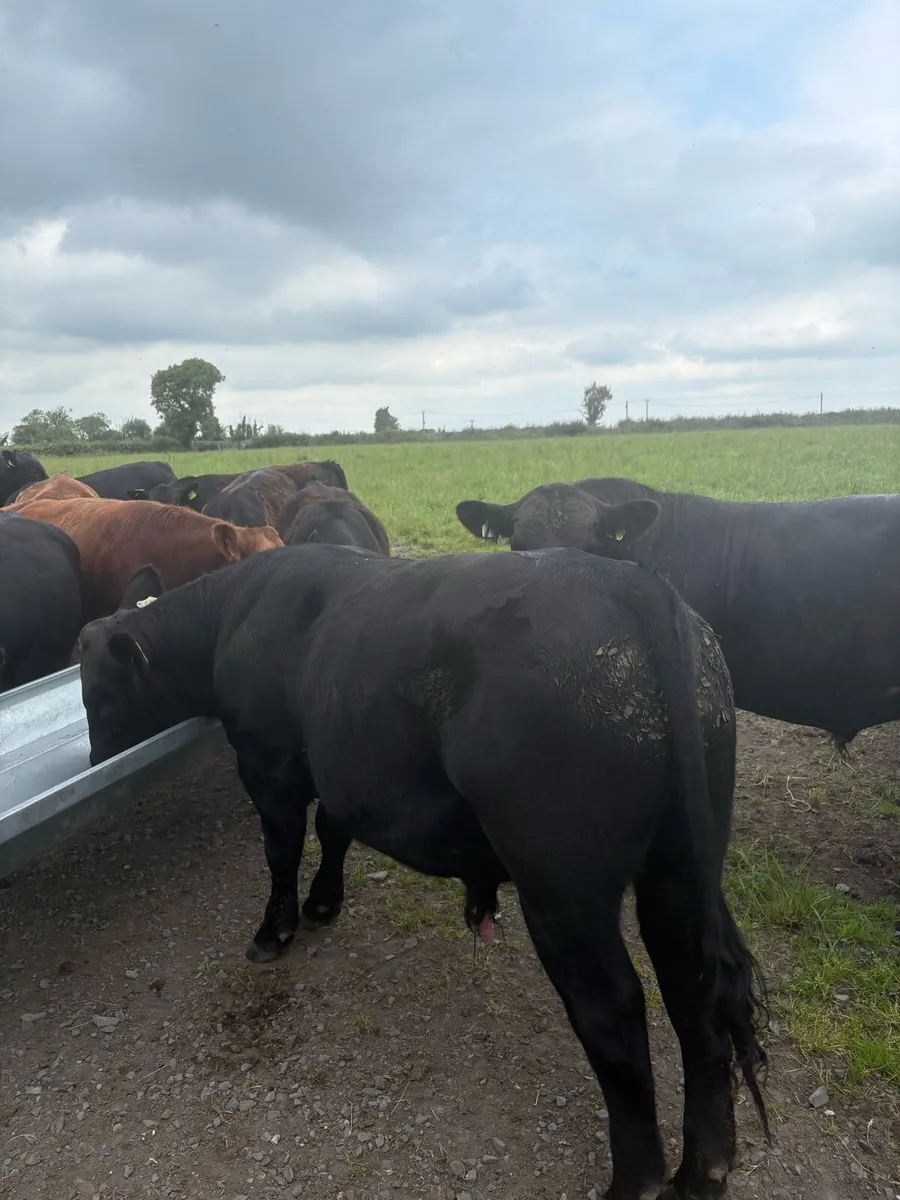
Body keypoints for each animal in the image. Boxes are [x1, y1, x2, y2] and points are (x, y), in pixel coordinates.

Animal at [79, 543, 768, 1199]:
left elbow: (281, 850)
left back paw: (635, 1182)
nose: (96, 760)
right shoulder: (342, 771)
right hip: (679, 867)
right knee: (693, 992)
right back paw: (703, 1172)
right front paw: (325, 903)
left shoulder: (269, 766)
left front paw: (275, 930)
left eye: (102, 698)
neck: (236, 612)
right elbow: (332, 830)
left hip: (562, 883)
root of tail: (631, 583)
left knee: (614, 1010)